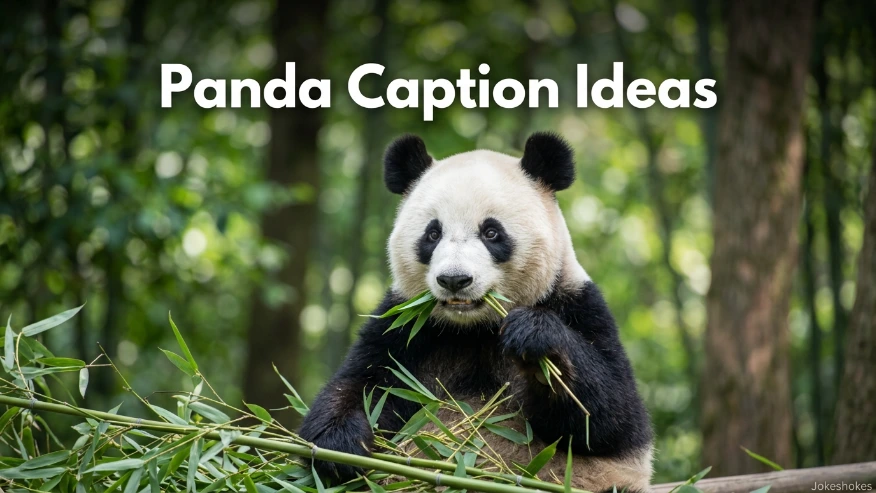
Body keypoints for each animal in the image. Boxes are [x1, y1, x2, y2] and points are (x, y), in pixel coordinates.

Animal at [298, 133, 654, 492]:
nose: (454, 279)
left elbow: (611, 420)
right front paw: (341, 447)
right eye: (433, 233)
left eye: (491, 232)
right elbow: (362, 384)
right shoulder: (405, 328)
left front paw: (535, 338)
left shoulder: (578, 305)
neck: (475, 328)